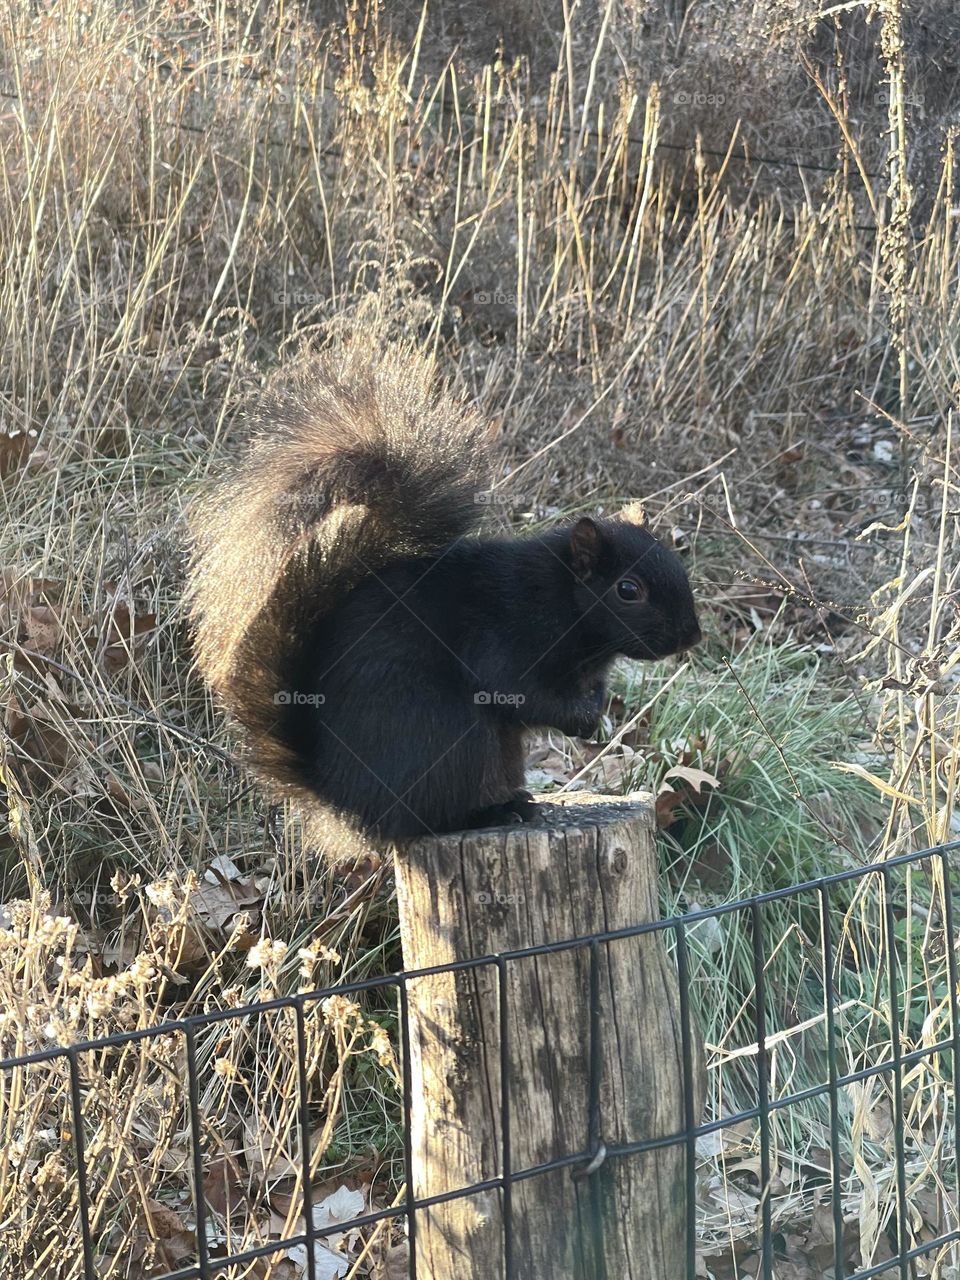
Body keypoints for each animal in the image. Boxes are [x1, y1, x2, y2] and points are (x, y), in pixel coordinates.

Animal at [188, 342, 701, 849]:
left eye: (678, 566)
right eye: (628, 590)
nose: (691, 637)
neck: (565, 603)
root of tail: (343, 800)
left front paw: (596, 710)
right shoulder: (506, 633)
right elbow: (520, 692)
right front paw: (580, 719)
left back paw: (514, 803)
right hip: (449, 736)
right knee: (429, 818)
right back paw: (490, 813)